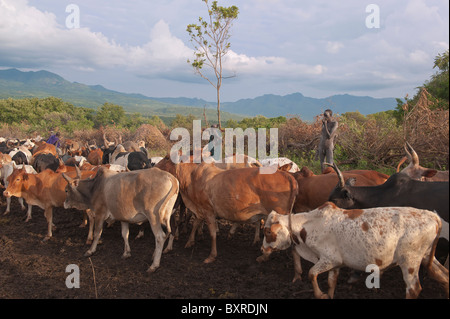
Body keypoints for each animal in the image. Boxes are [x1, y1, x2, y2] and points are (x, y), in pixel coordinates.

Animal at [262, 202, 448, 300]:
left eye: (268, 232)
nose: (262, 249)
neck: (310, 224)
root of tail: (433, 216)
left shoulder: (328, 259)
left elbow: (311, 274)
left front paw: (320, 294)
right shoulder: (336, 264)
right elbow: (331, 282)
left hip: (410, 261)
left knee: (413, 289)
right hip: (427, 256)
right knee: (444, 276)